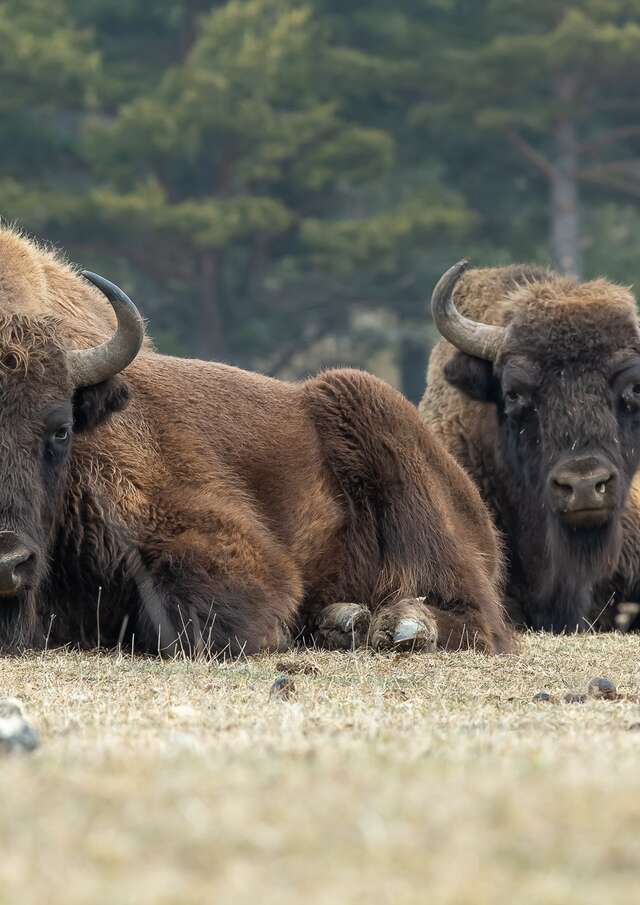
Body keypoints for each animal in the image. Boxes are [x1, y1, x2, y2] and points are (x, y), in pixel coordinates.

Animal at [0, 231, 510, 656]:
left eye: (61, 428)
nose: (8, 561)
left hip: (376, 424)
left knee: (482, 619)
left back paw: (399, 626)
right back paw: (343, 621)